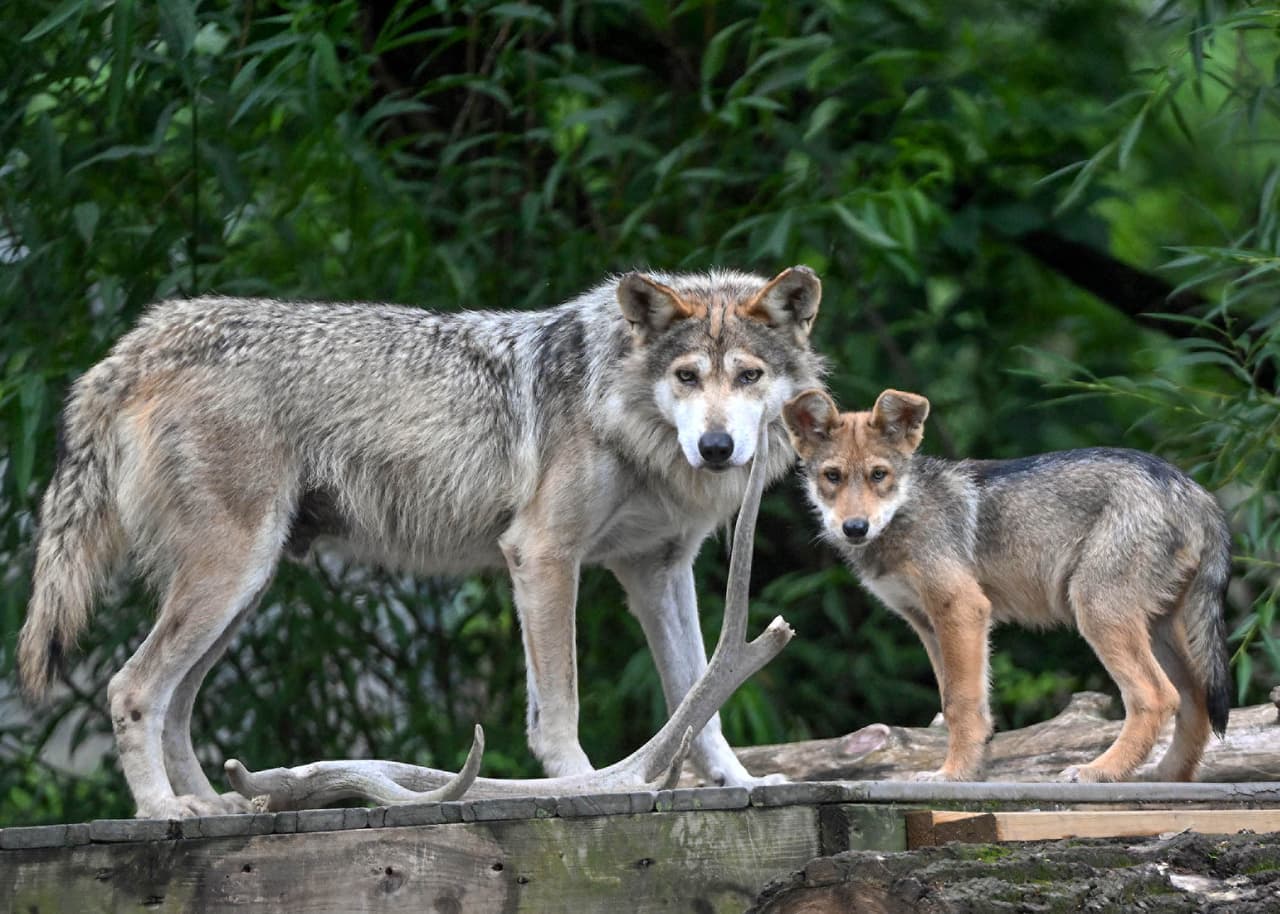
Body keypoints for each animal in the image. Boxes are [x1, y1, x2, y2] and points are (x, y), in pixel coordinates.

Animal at [18, 266, 824, 818]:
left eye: (748, 376)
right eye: (686, 376)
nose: (717, 448)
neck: (620, 410)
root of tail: (143, 338)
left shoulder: (657, 571)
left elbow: (699, 698)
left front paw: (742, 781)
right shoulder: (542, 555)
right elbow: (561, 707)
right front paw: (581, 786)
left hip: (243, 592)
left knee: (178, 706)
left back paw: (221, 808)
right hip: (231, 578)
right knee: (130, 688)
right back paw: (163, 811)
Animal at [783, 387, 1232, 783]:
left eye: (879, 475)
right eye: (833, 477)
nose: (854, 528)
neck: (906, 513)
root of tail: (1196, 491)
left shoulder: (962, 608)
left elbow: (959, 704)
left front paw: (951, 776)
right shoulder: (927, 624)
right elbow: (966, 705)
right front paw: (970, 771)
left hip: (1098, 614)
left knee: (1157, 697)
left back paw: (1100, 771)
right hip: (1156, 628)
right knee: (1195, 701)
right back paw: (1167, 778)